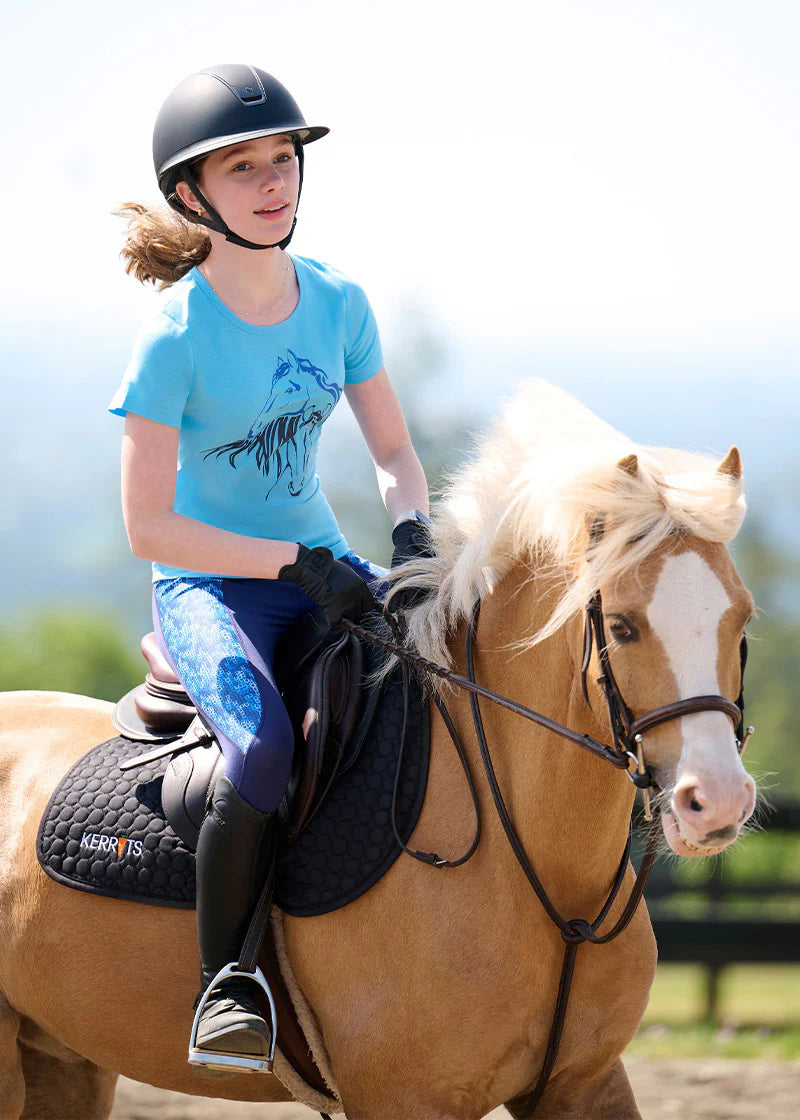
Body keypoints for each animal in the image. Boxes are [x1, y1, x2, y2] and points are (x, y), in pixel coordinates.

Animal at [0, 380, 756, 1119]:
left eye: (742, 619)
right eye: (623, 626)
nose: (716, 801)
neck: (548, 881)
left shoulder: (586, 1084)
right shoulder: (403, 1097)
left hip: (64, 1059)